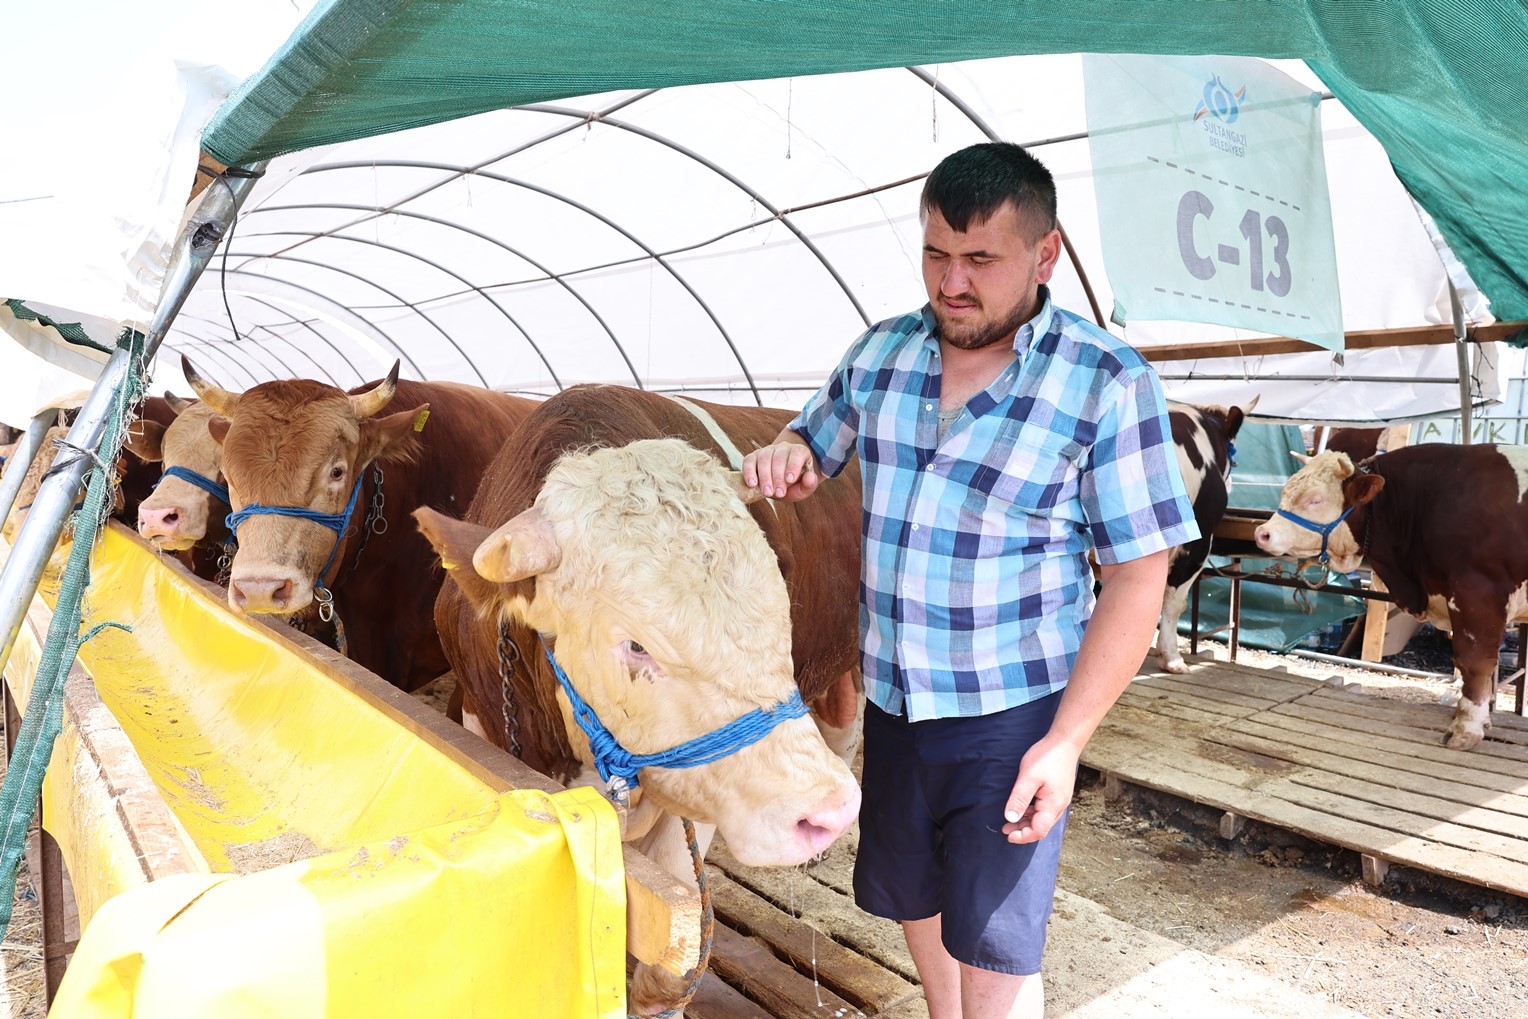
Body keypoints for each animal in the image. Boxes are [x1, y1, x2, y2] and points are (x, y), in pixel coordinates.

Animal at [1252, 446, 1528, 748]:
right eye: (1286, 490)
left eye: (1315, 499)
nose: (1262, 533)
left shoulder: (1476, 592)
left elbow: (1475, 662)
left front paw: (1466, 728)